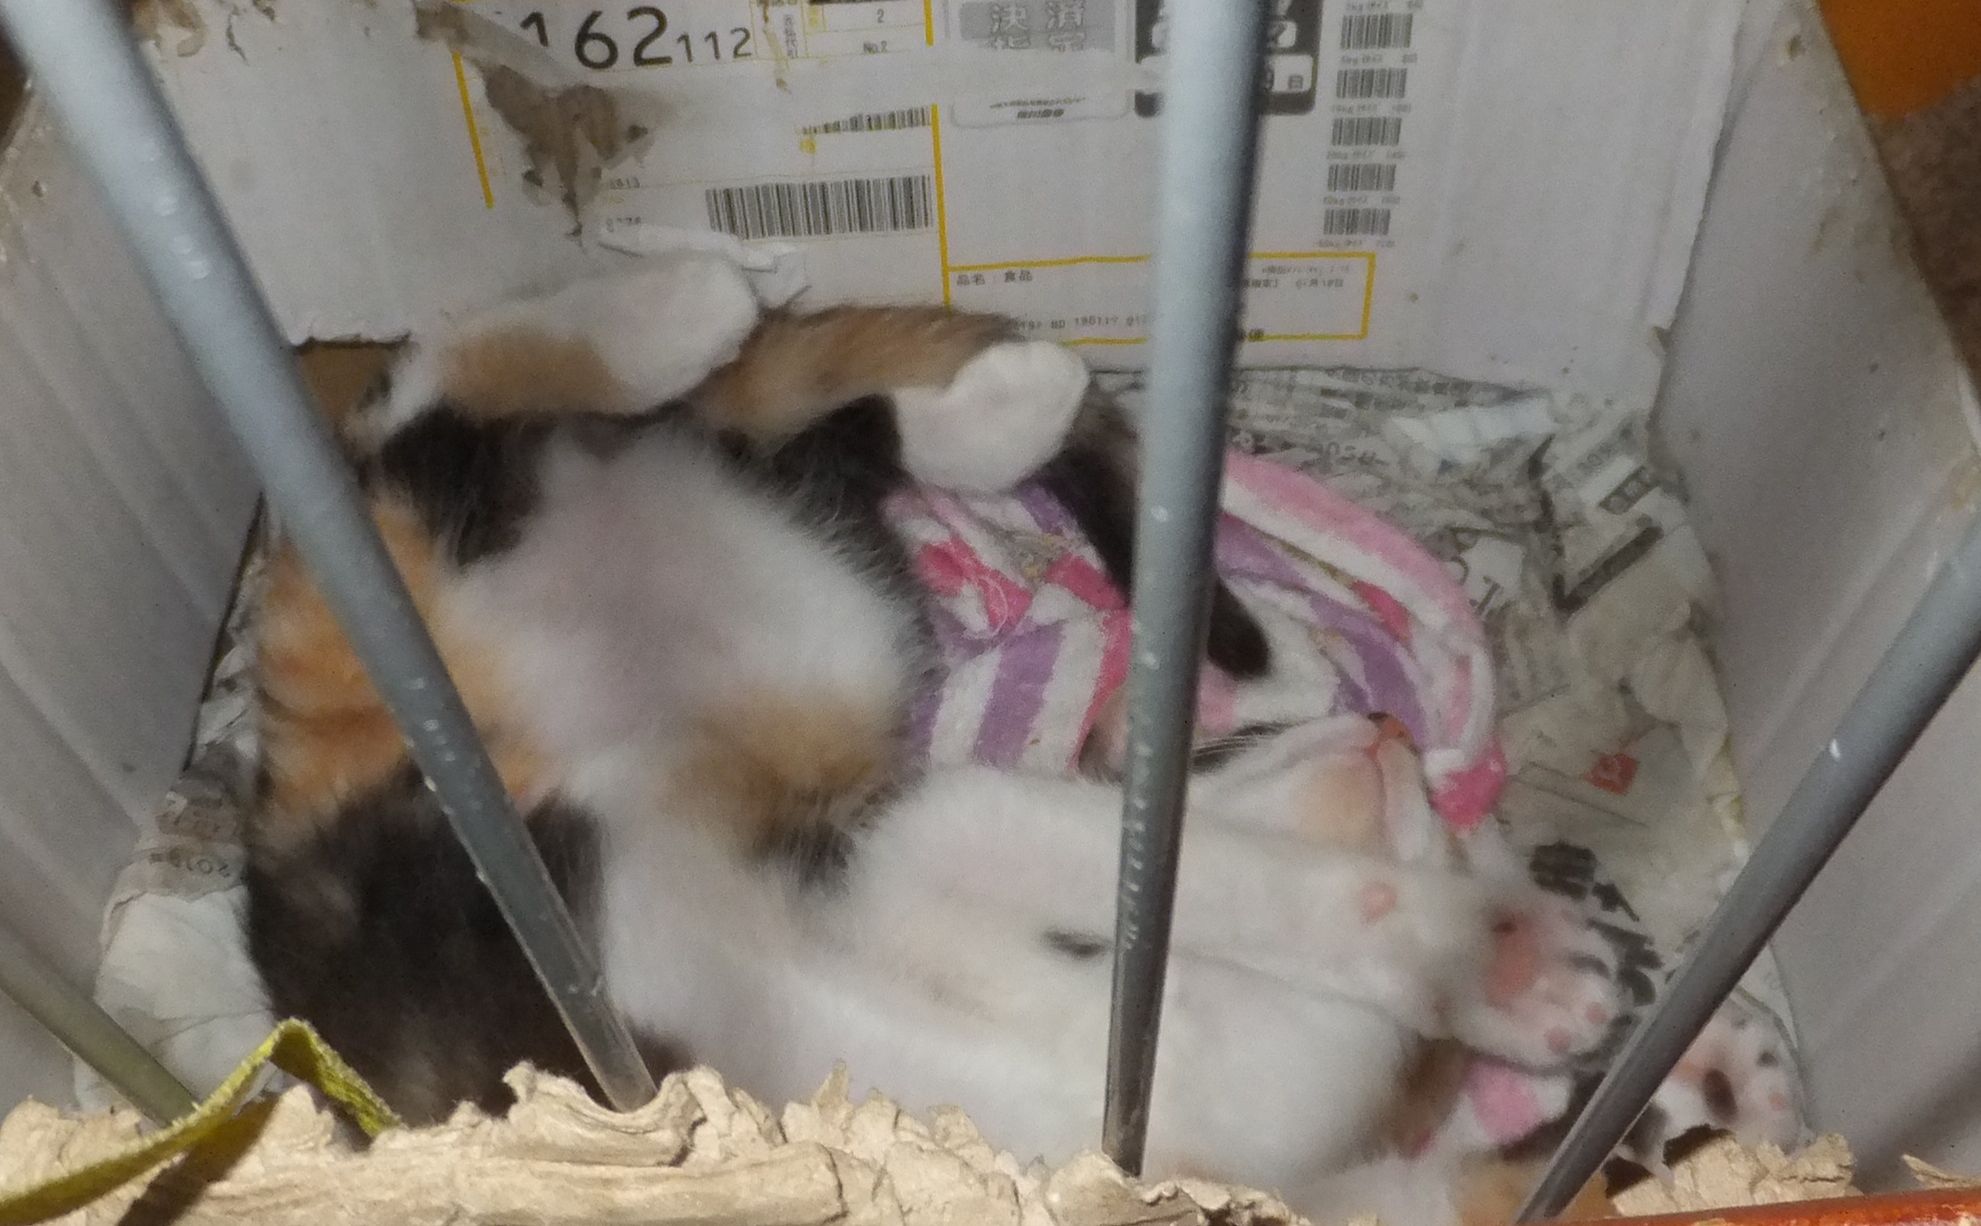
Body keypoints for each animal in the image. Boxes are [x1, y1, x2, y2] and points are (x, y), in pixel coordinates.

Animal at [245, 253, 1622, 1219]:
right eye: (1225, 752)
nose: (1385, 727)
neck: (1212, 1007)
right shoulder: (915, 841)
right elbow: (1216, 871)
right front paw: (1501, 963)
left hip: (818, 618)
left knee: (803, 455)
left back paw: (992, 408)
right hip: (419, 585)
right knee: (422, 406)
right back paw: (691, 309)